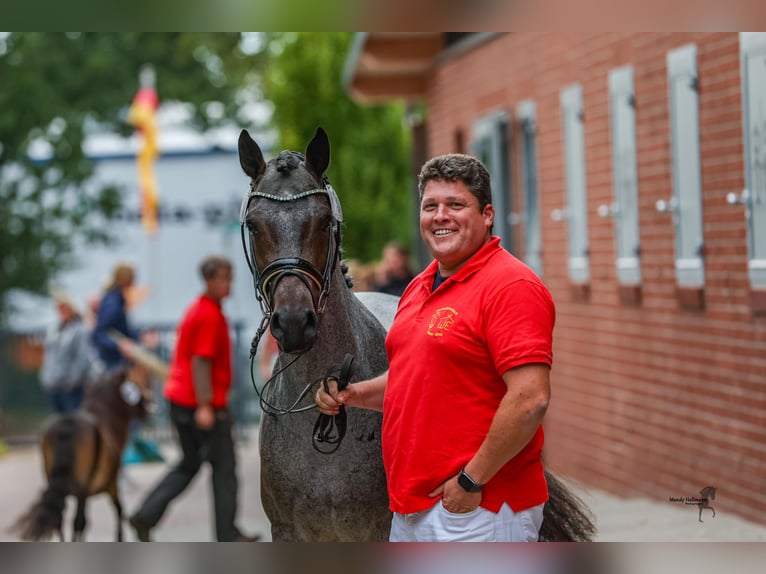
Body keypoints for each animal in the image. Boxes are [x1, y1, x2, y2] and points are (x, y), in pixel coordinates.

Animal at [12, 366, 152, 544]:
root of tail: (67, 424)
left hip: (52, 476)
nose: (149, 404)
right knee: (78, 520)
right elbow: (118, 510)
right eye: (133, 386)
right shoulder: (110, 482)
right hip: (84, 485)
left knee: (59, 518)